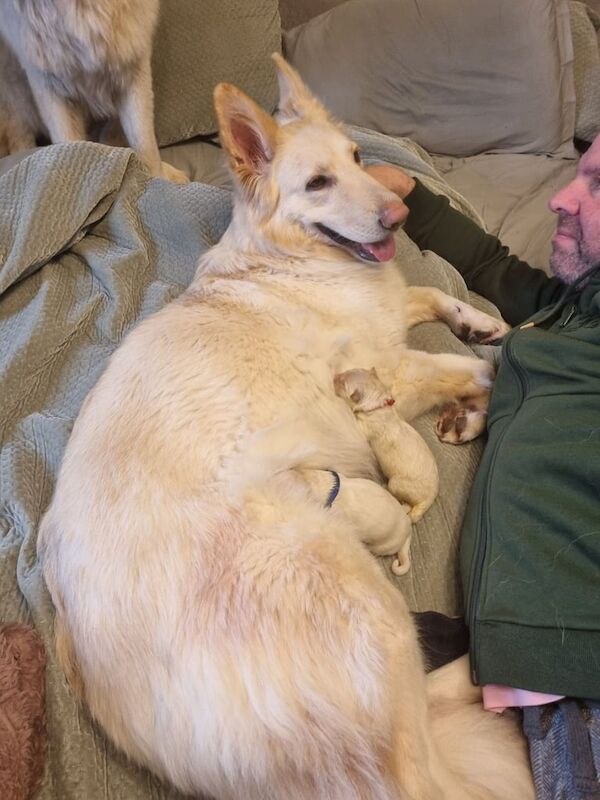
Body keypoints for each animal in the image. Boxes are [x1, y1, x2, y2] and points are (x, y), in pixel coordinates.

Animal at [0, 0, 186, 181]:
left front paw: (157, 179)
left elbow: (144, 140)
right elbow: (68, 145)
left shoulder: (133, 66)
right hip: (14, 90)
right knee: (19, 135)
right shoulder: (48, 84)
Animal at [38, 57, 536, 800]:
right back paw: (478, 679)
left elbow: (428, 296)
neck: (292, 261)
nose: (399, 212)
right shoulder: (391, 366)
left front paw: (479, 323)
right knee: (425, 755)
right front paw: (488, 375)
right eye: (318, 183)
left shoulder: (391, 315)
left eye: (358, 158)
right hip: (363, 604)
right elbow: (469, 366)